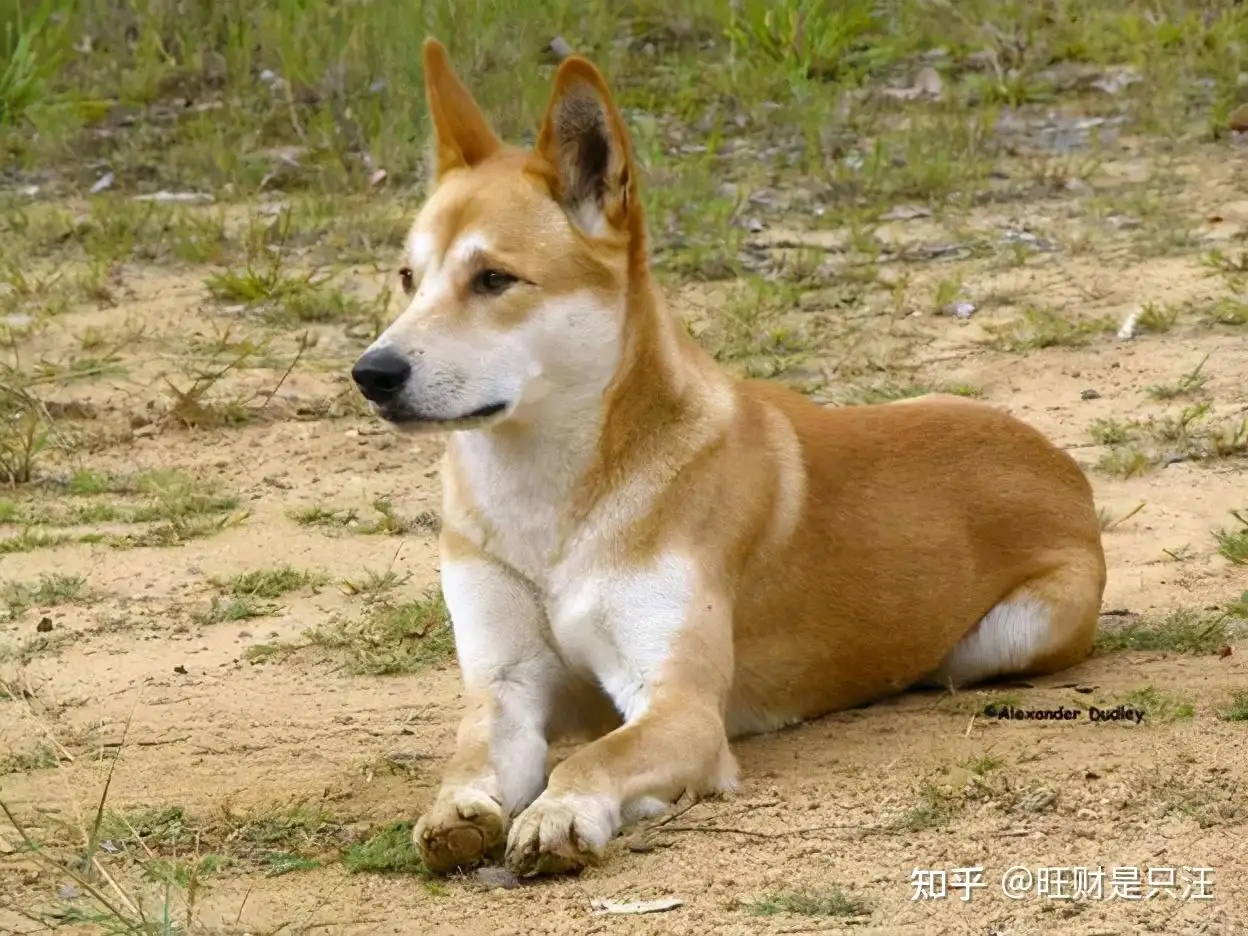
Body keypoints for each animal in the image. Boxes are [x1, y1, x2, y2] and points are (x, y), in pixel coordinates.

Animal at [349, 36, 1103, 883]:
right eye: (408, 279)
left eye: (494, 279)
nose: (372, 373)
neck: (549, 507)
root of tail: (1064, 469)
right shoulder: (504, 686)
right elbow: (470, 759)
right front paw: (457, 811)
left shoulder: (680, 707)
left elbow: (590, 759)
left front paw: (560, 812)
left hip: (1003, 640)